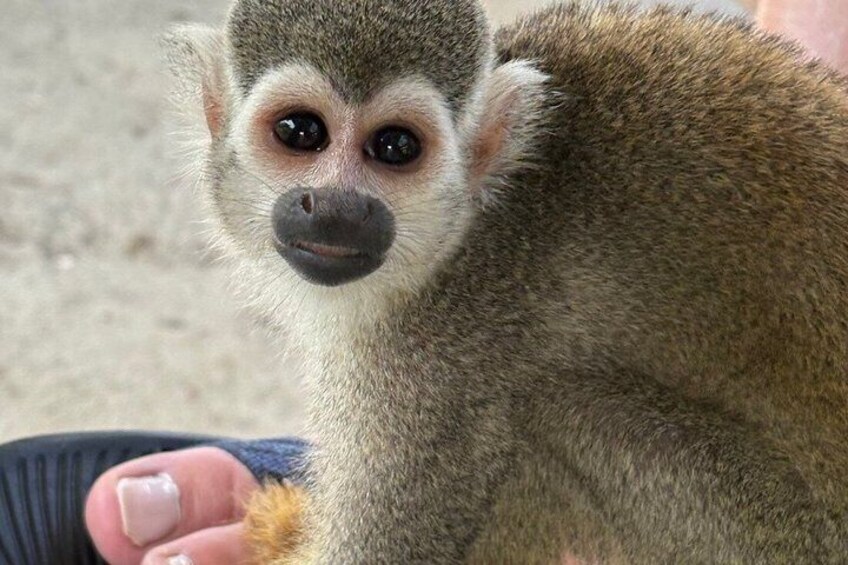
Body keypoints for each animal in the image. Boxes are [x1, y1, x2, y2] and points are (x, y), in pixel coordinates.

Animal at [163, 0, 848, 562]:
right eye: (300, 132)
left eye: (395, 146)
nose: (337, 207)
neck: (466, 229)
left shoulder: (439, 353)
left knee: (544, 419)